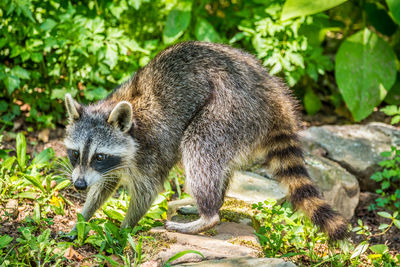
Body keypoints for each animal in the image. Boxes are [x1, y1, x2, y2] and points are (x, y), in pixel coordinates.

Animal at [64, 40, 348, 240]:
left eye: (99, 156)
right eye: (75, 154)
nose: (78, 185)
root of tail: (273, 94)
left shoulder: (153, 147)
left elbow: (147, 190)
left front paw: (123, 230)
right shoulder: (115, 163)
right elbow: (105, 184)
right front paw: (83, 218)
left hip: (229, 109)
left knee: (198, 147)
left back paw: (207, 215)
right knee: (219, 164)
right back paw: (213, 204)